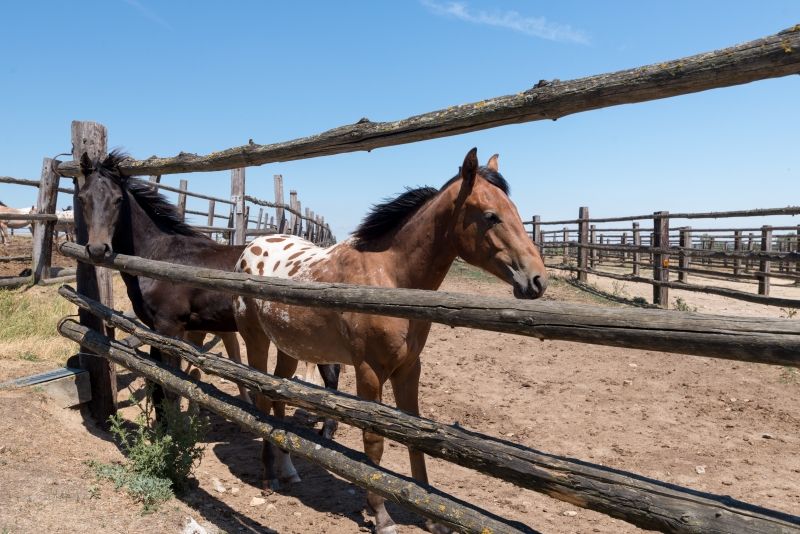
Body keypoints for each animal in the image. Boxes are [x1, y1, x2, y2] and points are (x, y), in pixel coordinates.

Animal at [76, 151, 341, 435]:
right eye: (82, 198)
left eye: (118, 200)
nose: (98, 249)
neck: (160, 255)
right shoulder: (155, 329)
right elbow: (155, 383)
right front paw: (162, 432)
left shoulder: (170, 328)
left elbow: (171, 386)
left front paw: (174, 437)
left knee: (331, 374)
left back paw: (327, 431)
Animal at [234, 148, 548, 534]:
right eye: (491, 216)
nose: (537, 280)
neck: (389, 276)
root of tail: (251, 247)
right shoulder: (369, 372)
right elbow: (374, 442)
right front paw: (381, 515)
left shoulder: (408, 369)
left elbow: (415, 438)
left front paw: (433, 517)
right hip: (256, 340)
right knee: (262, 398)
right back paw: (269, 476)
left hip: (290, 348)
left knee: (277, 396)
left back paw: (288, 470)